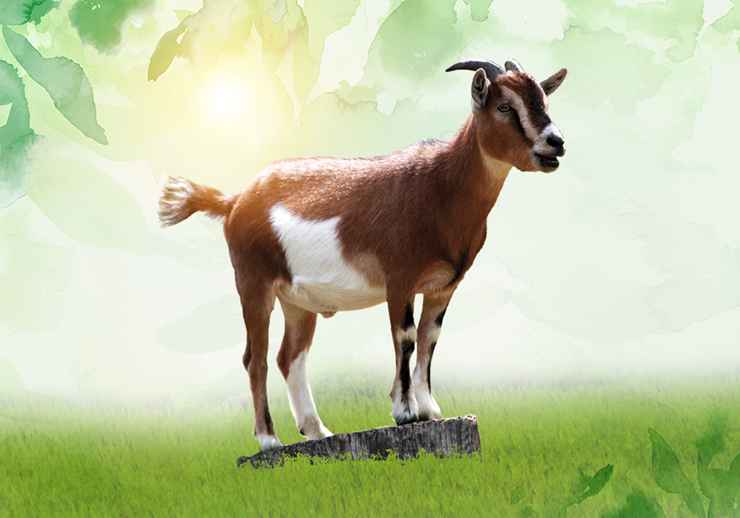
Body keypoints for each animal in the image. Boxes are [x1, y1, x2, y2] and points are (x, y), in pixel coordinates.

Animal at [159, 58, 568, 451]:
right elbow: (405, 336)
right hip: (253, 283)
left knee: (289, 357)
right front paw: (404, 412)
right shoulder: (399, 278)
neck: (440, 186)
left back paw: (317, 430)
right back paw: (268, 439)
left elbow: (429, 337)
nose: (556, 143)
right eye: (504, 106)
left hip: (297, 302)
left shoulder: (444, 286)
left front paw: (429, 410)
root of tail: (233, 202)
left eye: (544, 102)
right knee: (255, 358)